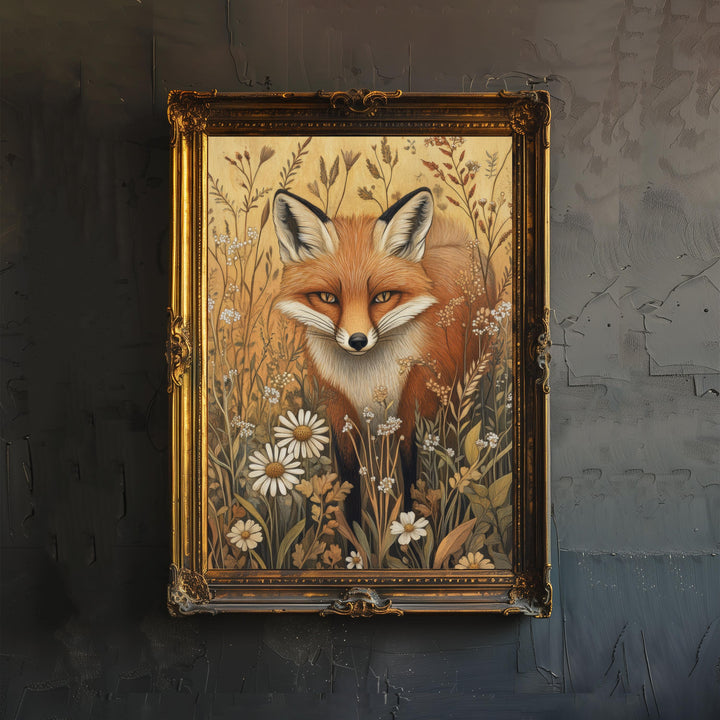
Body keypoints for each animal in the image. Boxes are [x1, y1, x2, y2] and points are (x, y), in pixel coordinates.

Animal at [272, 186, 479, 505]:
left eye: (382, 297)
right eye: (328, 298)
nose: (358, 340)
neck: (366, 383)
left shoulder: (408, 412)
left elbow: (408, 478)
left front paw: (410, 518)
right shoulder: (340, 415)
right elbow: (349, 486)